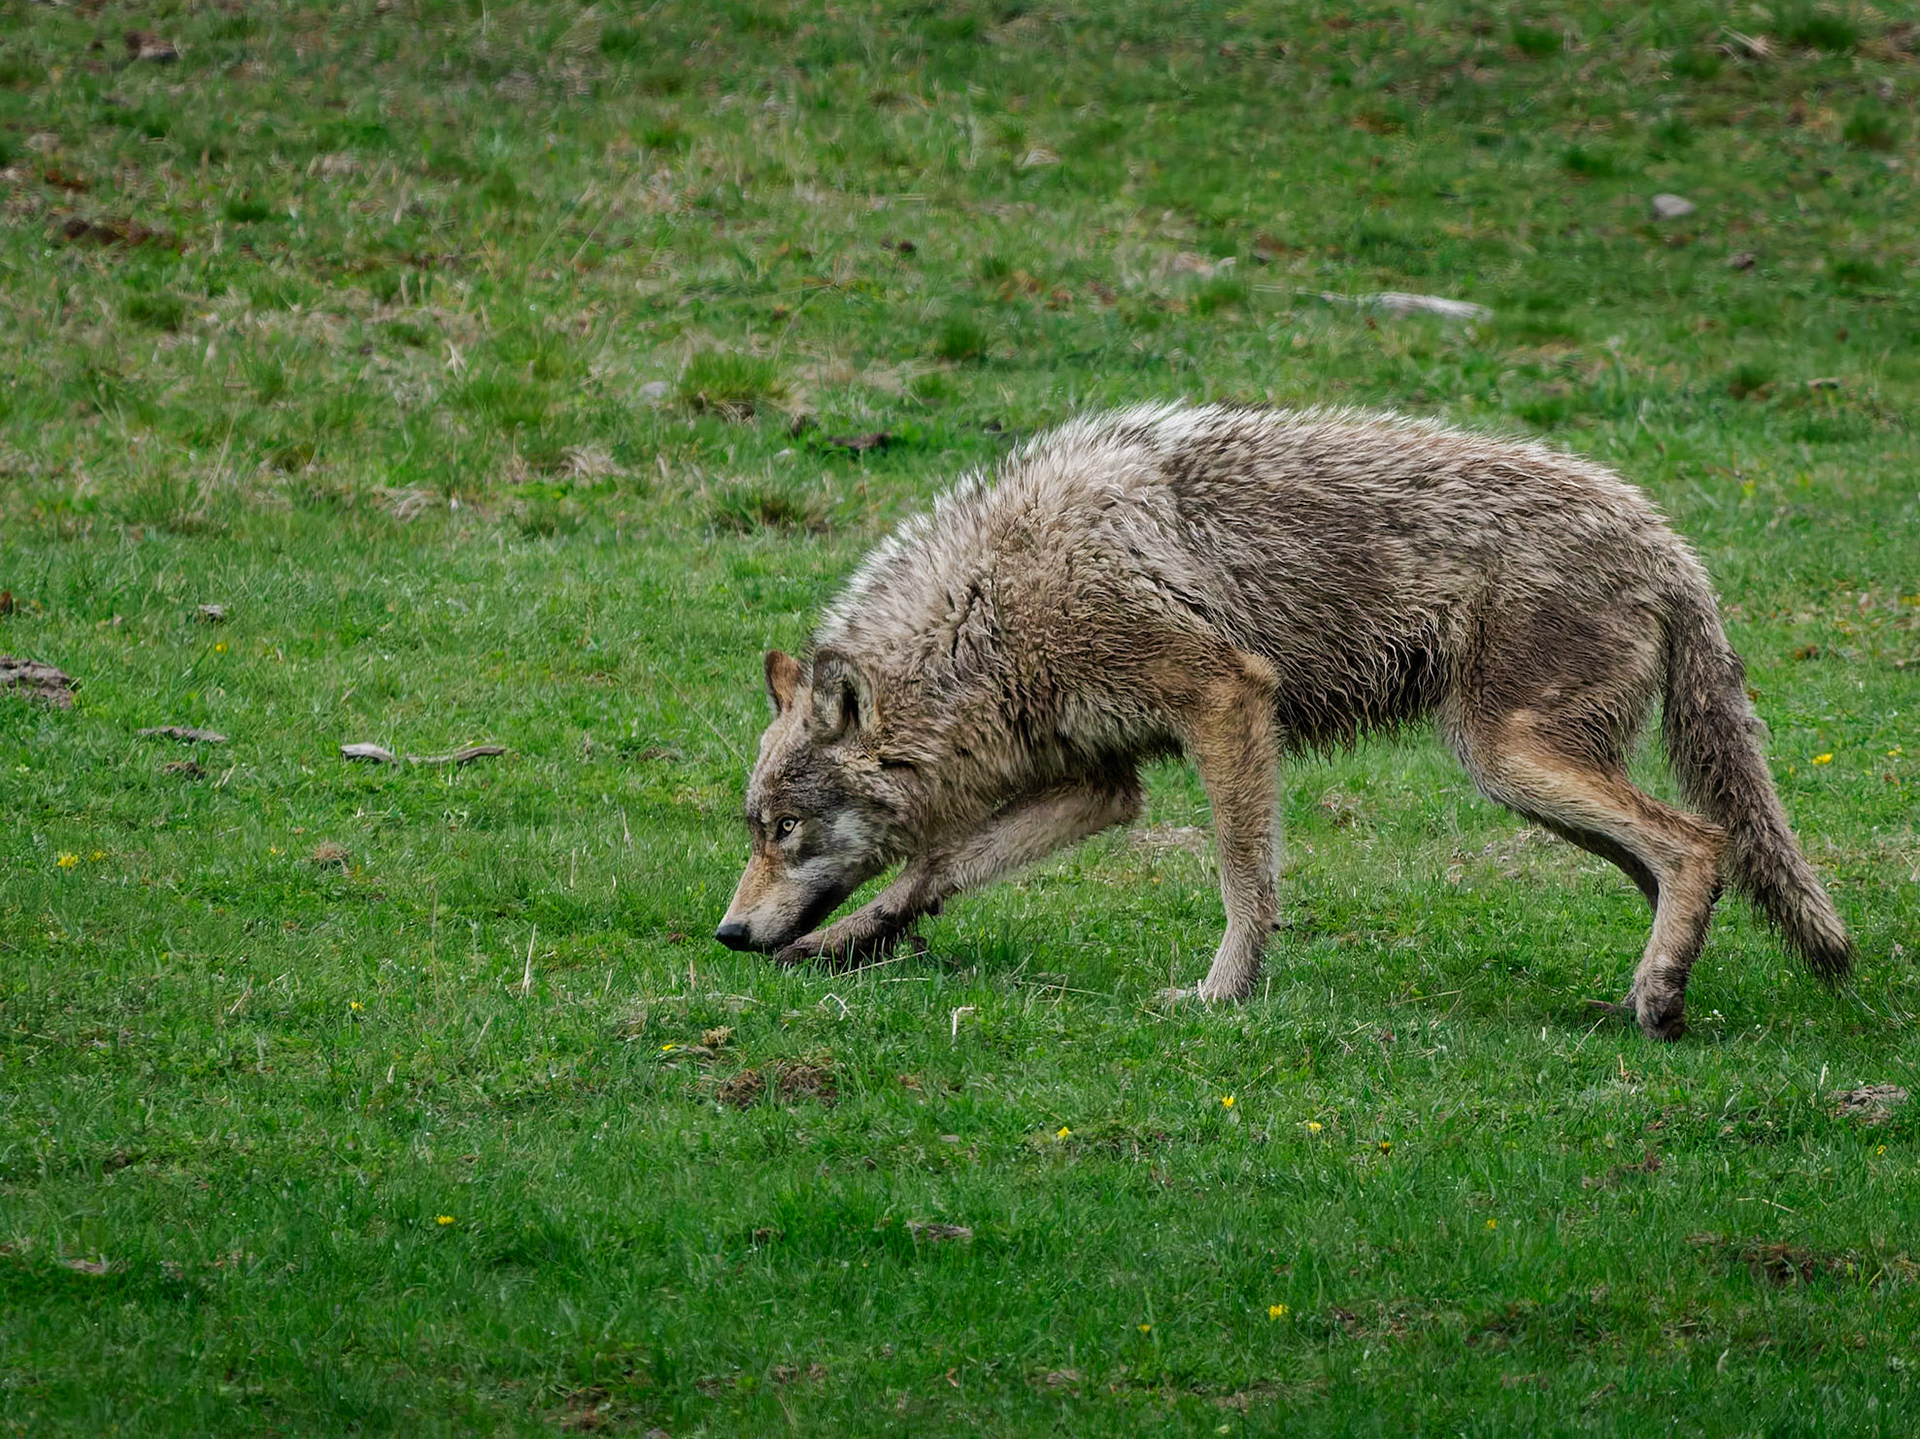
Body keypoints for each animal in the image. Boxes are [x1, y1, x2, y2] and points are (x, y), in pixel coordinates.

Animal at [714, 404, 1851, 1039]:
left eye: (783, 829)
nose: (725, 932)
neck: (992, 606)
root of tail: (1667, 537)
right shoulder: (1102, 783)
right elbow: (936, 868)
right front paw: (850, 941)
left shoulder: (1228, 701)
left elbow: (1242, 876)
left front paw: (1224, 993)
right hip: (1527, 779)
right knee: (1679, 860)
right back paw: (1647, 993)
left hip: (1509, 760)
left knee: (1699, 840)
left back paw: (1657, 1001)